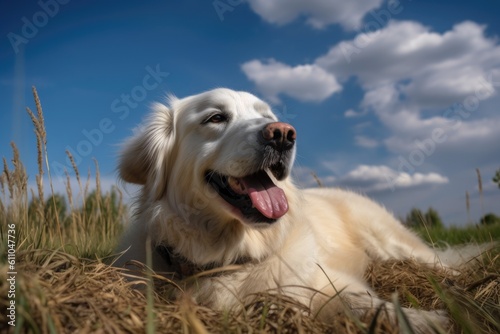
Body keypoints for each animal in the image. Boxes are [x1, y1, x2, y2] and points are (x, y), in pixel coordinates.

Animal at [117, 88, 454, 332]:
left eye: (267, 116)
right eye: (215, 118)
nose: (282, 133)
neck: (229, 255)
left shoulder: (330, 283)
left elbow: (366, 303)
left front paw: (431, 319)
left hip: (390, 241)